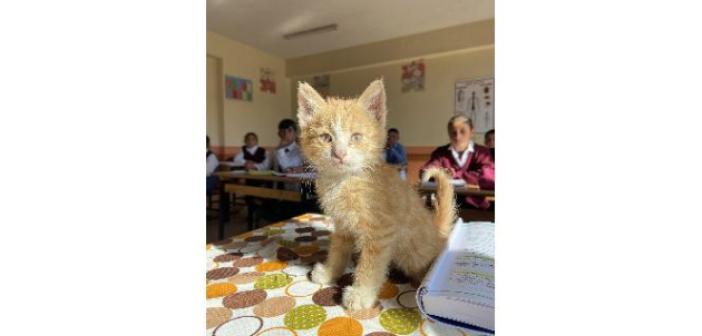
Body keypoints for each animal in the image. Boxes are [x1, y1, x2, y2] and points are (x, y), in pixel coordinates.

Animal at [296, 79, 456, 310]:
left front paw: (361, 294)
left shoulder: (381, 232)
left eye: (356, 137)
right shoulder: (343, 225)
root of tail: (438, 232)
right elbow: (337, 250)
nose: (339, 154)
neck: (345, 180)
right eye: (326, 137)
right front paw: (329, 273)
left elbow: (370, 266)